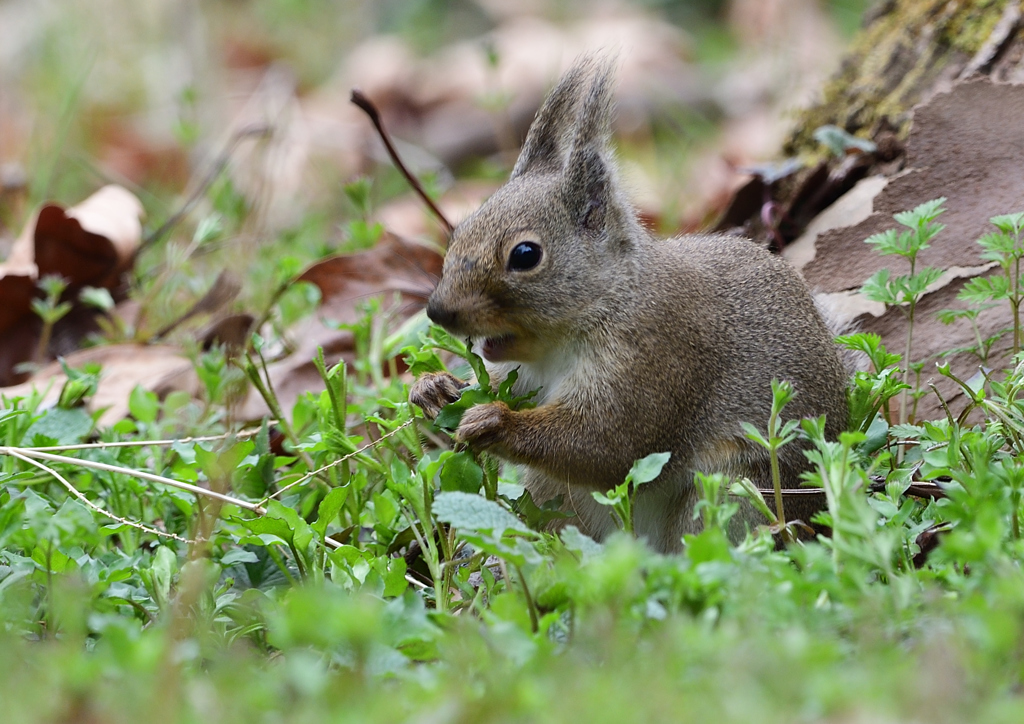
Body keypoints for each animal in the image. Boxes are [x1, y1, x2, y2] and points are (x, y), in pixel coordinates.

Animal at [407, 56, 847, 557]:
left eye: (525, 255)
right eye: (459, 230)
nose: (438, 312)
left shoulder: (655, 360)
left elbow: (607, 446)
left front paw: (494, 423)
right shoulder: (525, 375)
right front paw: (433, 388)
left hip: (732, 490)